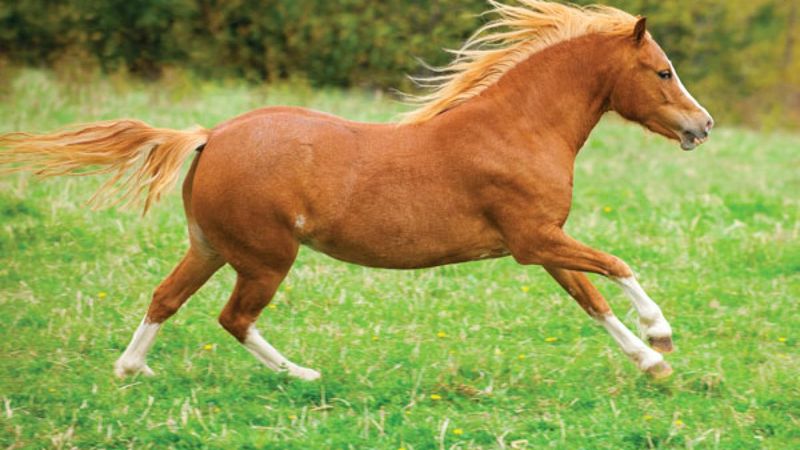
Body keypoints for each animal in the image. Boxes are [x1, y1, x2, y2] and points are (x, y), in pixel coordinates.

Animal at [0, 0, 712, 382]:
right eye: (662, 71)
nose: (701, 126)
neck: (517, 127)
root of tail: (212, 135)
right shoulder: (535, 239)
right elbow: (616, 267)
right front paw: (661, 334)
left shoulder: (539, 243)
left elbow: (591, 299)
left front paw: (650, 363)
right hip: (265, 257)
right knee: (234, 318)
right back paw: (303, 376)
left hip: (211, 247)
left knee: (166, 298)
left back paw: (131, 370)